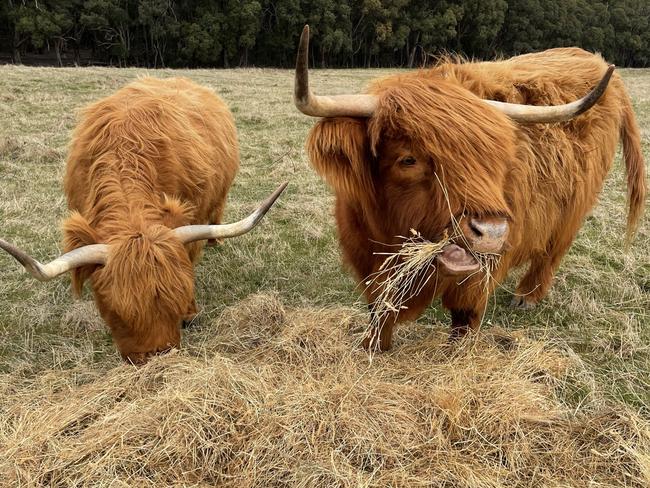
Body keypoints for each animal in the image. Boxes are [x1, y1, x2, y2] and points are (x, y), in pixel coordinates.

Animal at [294, 25, 644, 350]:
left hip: (574, 207)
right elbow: (380, 309)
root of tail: (598, 64)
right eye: (408, 159)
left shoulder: (481, 274)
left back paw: (527, 296)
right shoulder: (368, 260)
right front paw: (373, 347)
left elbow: (465, 317)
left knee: (553, 250)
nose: (491, 232)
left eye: (497, 155)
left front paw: (457, 354)